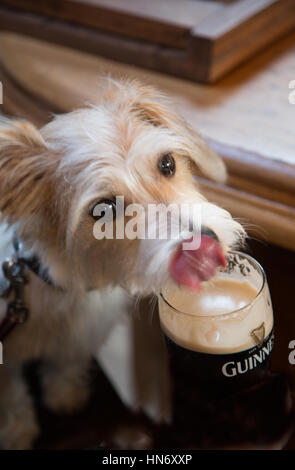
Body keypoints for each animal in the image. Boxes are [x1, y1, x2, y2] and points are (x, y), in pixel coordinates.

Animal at [0, 80, 245, 448]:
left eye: (167, 164)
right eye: (103, 209)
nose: (205, 248)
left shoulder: (82, 332)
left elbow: (65, 364)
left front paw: (65, 394)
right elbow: (12, 396)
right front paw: (17, 432)